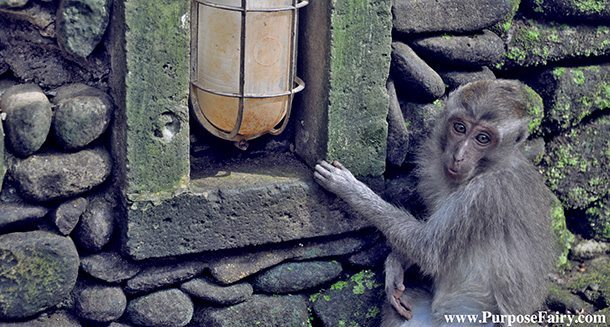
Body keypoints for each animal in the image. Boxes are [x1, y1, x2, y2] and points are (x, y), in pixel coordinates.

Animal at [314, 80, 556, 327]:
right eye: (459, 127)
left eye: (483, 138)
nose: (458, 156)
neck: (484, 169)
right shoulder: (433, 166)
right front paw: (396, 263)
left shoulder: (485, 195)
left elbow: (428, 249)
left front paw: (348, 188)